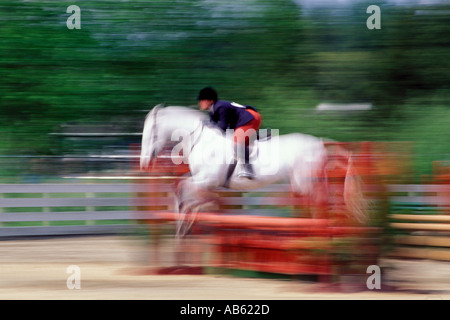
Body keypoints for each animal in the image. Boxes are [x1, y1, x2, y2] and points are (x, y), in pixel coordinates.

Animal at [142, 104, 370, 235]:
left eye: (150, 133)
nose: (144, 164)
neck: (201, 138)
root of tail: (320, 142)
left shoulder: (208, 179)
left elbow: (186, 188)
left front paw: (186, 220)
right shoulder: (201, 178)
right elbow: (181, 187)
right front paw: (184, 219)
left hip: (305, 181)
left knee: (320, 202)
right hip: (305, 180)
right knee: (319, 199)